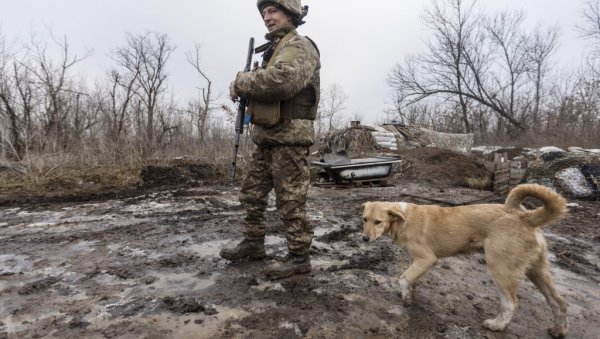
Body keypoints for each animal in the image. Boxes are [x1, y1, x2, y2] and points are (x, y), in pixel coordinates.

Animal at [360, 185, 568, 338]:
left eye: (378, 222)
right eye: (364, 219)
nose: (364, 239)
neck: (403, 219)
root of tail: (525, 216)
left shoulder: (427, 259)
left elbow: (403, 278)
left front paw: (406, 299)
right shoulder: (416, 261)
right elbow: (411, 280)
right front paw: (410, 296)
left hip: (499, 268)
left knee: (511, 303)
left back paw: (497, 324)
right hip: (537, 271)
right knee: (558, 302)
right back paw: (559, 330)